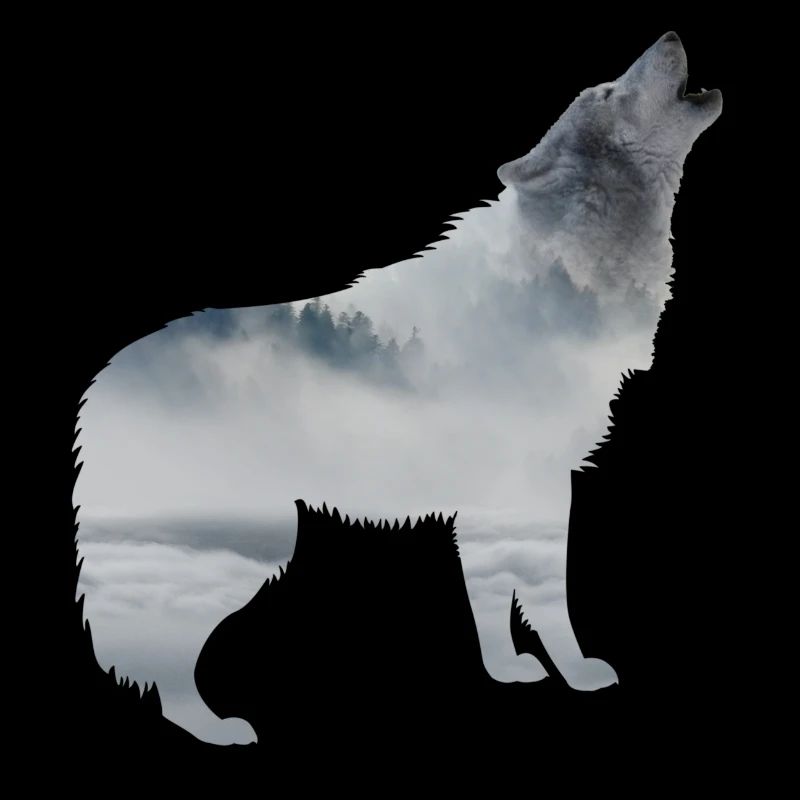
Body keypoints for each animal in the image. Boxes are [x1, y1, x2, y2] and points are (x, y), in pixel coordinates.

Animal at [74, 31, 722, 743]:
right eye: (607, 92)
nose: (670, 35)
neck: (564, 267)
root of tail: (100, 385)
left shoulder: (496, 501)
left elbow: (492, 592)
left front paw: (508, 673)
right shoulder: (536, 485)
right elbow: (549, 596)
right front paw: (577, 676)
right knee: (159, 652)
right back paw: (217, 729)